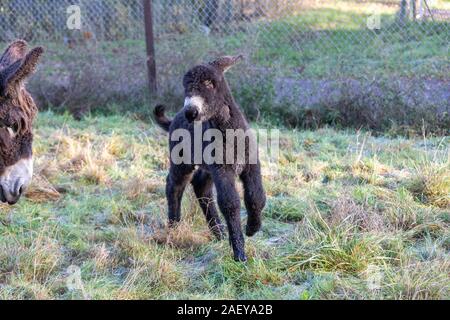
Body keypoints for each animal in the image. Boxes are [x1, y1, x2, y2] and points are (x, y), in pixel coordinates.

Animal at [156, 55, 268, 260]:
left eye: (209, 83)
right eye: (185, 87)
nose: (191, 113)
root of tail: (174, 118)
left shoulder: (250, 164)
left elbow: (256, 196)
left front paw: (252, 228)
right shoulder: (222, 169)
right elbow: (230, 203)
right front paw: (239, 253)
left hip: (207, 166)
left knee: (200, 186)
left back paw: (219, 231)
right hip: (183, 160)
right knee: (174, 186)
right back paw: (174, 227)